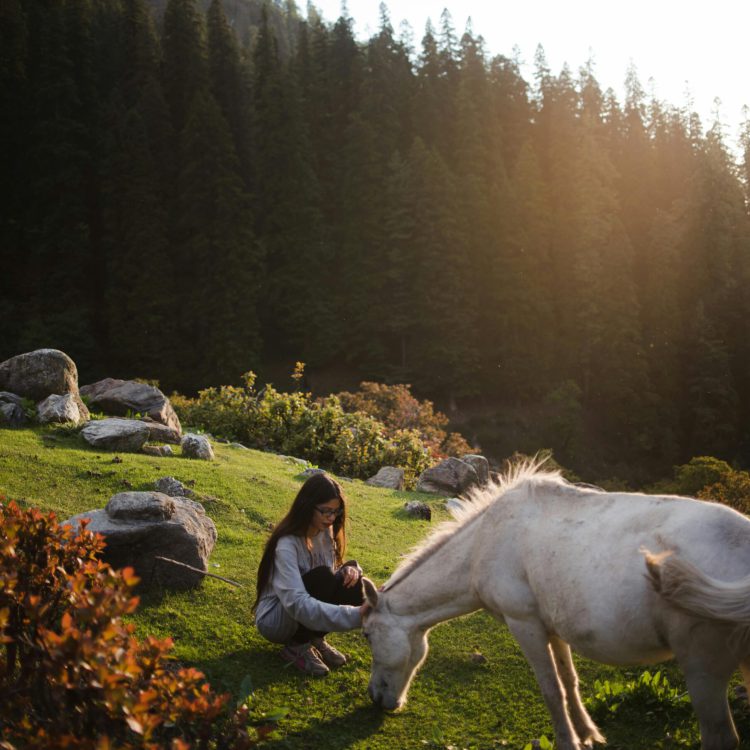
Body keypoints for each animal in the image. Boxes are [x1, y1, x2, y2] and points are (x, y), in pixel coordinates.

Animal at [361, 461, 750, 750]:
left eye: (366, 635)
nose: (376, 698)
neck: (483, 543)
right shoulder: (555, 626)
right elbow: (569, 681)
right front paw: (588, 734)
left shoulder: (525, 624)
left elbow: (550, 689)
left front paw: (568, 741)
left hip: (702, 667)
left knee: (721, 738)